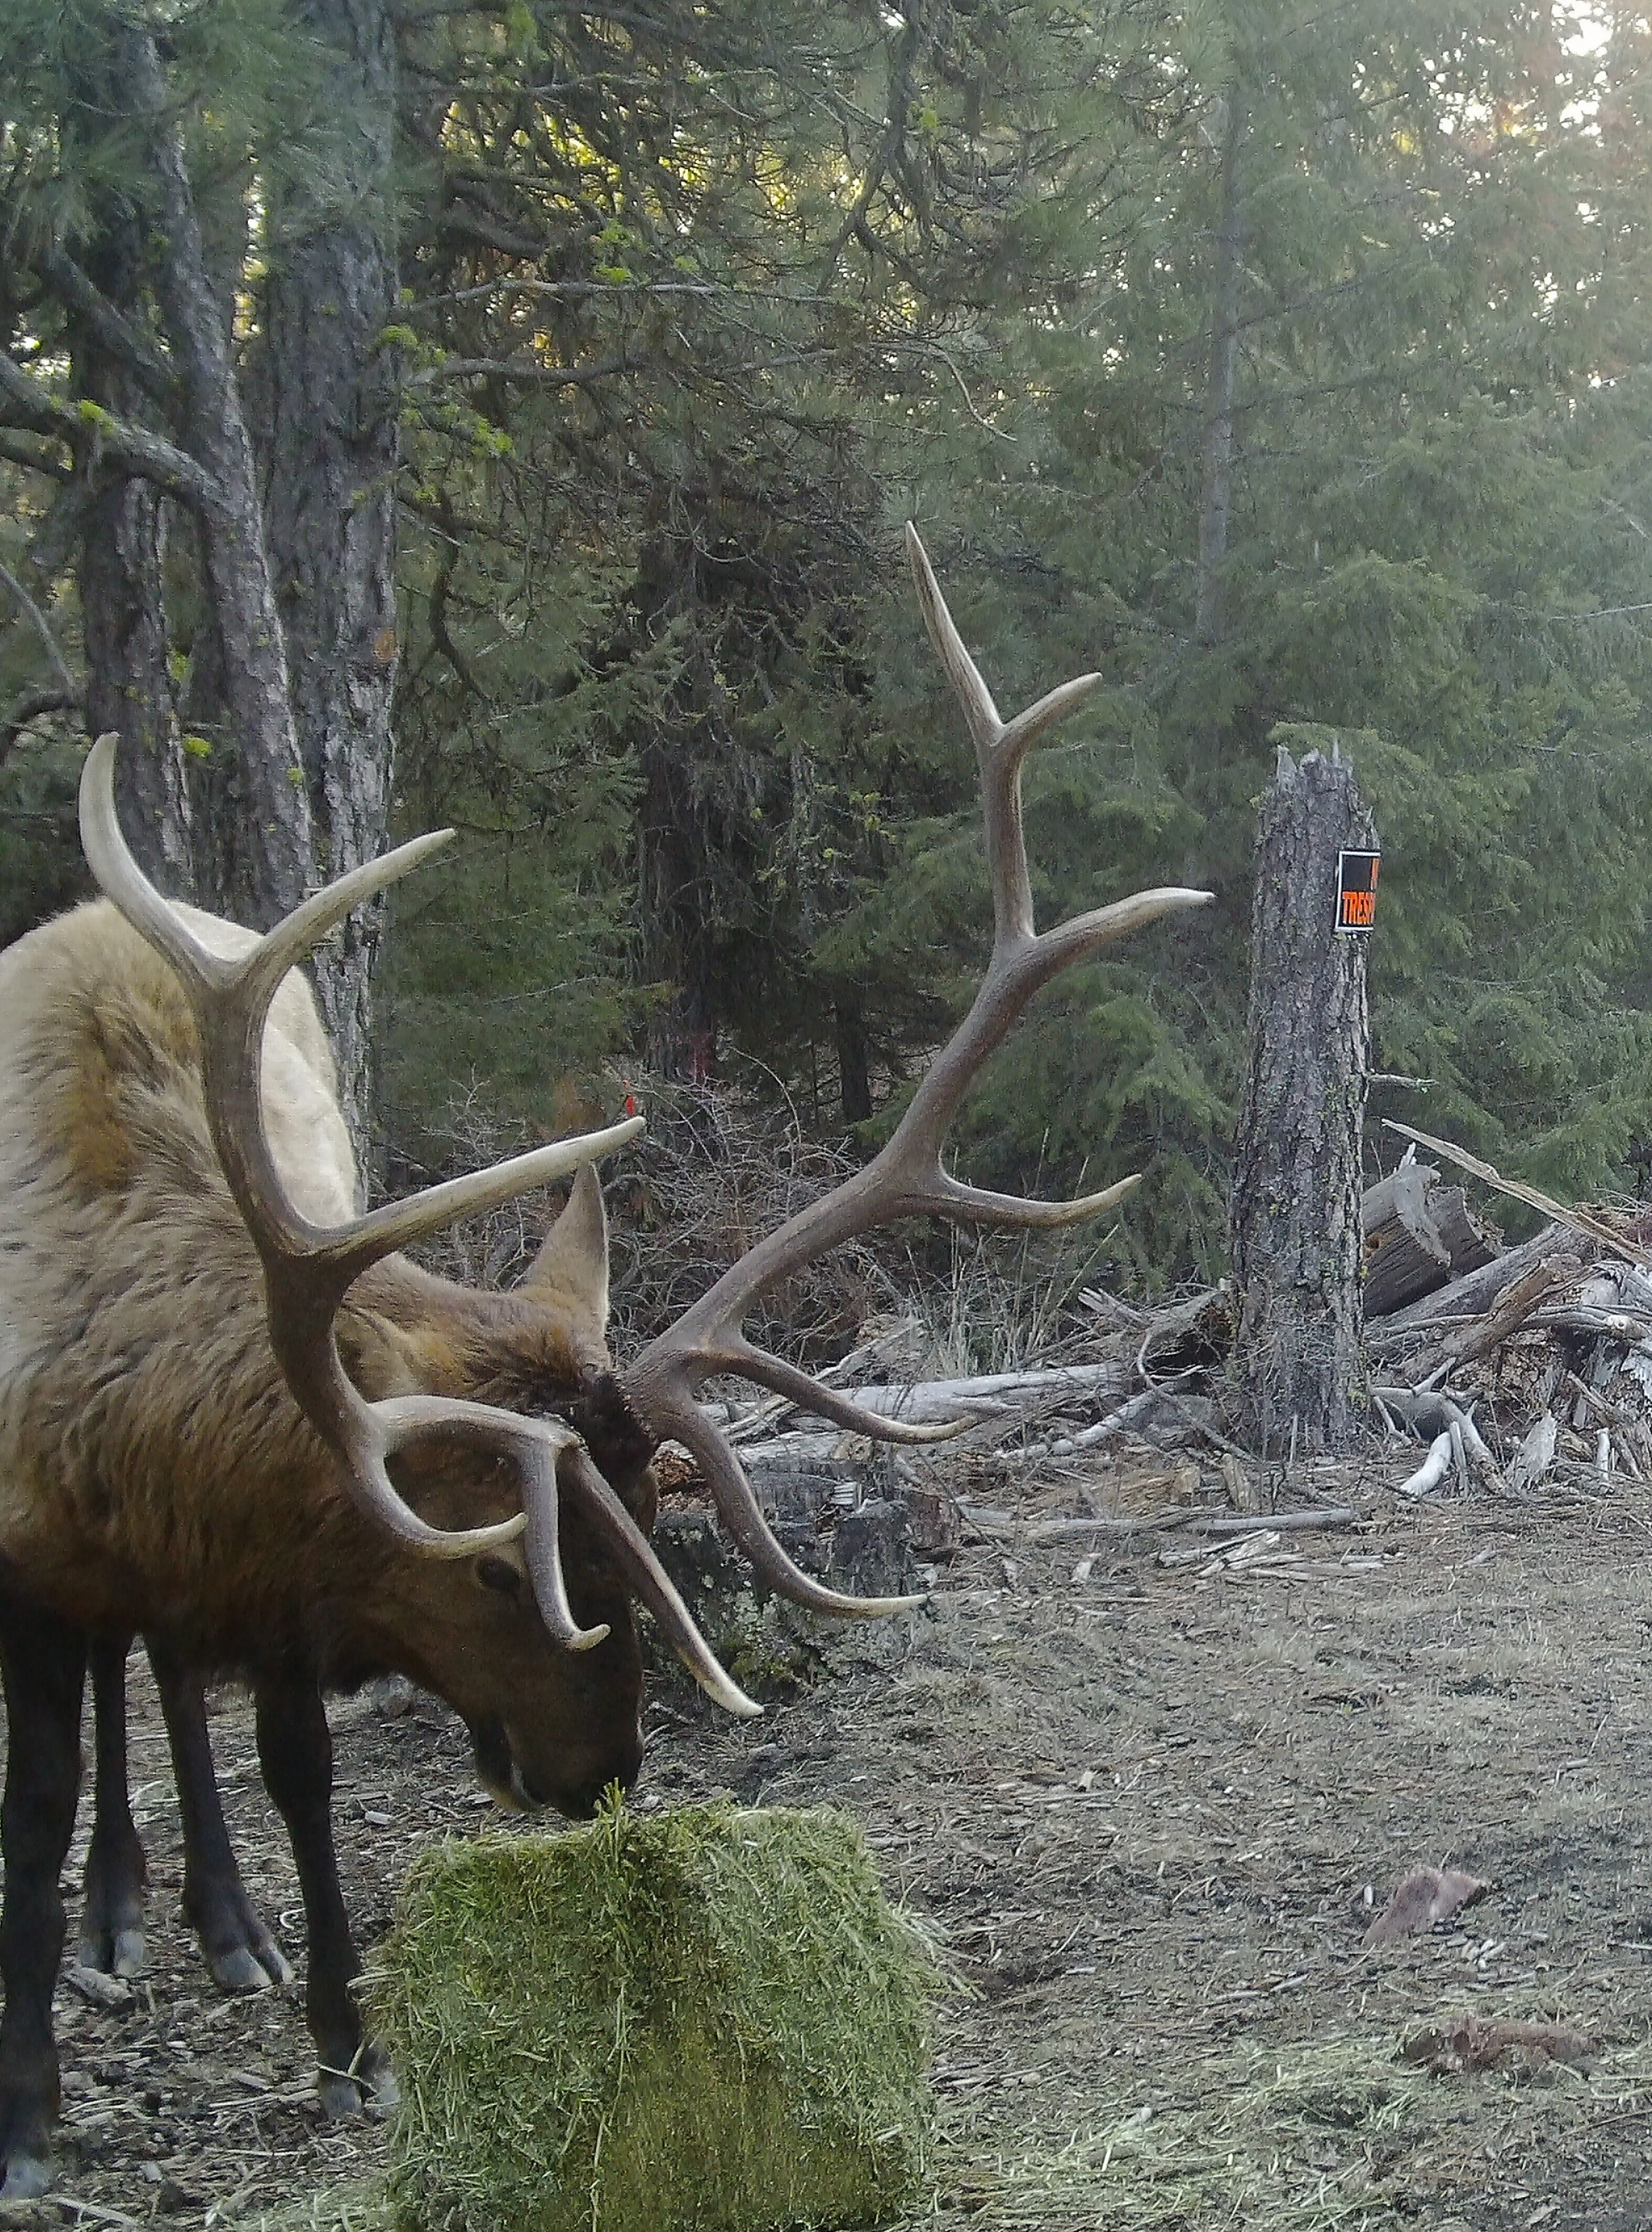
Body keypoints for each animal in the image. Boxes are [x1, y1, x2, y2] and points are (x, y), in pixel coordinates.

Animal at [0, 528, 1210, 2197]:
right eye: (501, 1569)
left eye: (644, 1522)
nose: (608, 1776)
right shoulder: (35, 1559)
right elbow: (34, 1807)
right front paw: (28, 2117)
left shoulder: (281, 1566)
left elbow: (299, 1772)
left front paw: (349, 2044)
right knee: (130, 1688)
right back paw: (128, 1910)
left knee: (174, 1680)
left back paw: (217, 1921)